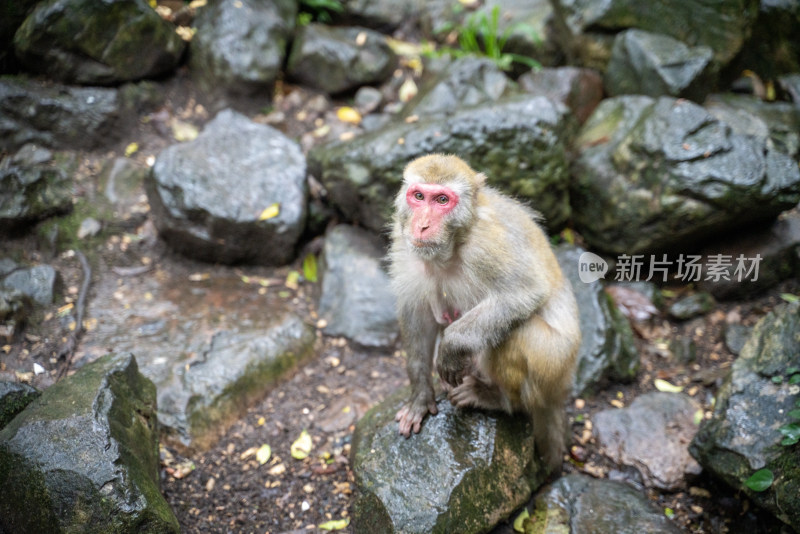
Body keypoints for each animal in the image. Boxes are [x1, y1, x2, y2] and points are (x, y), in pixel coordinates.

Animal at [390, 154, 580, 474]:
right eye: (418, 196)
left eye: (442, 200)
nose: (423, 225)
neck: (452, 246)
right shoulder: (407, 249)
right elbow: (418, 316)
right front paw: (420, 396)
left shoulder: (487, 248)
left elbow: (523, 293)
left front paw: (452, 347)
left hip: (552, 365)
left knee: (516, 331)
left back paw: (496, 399)